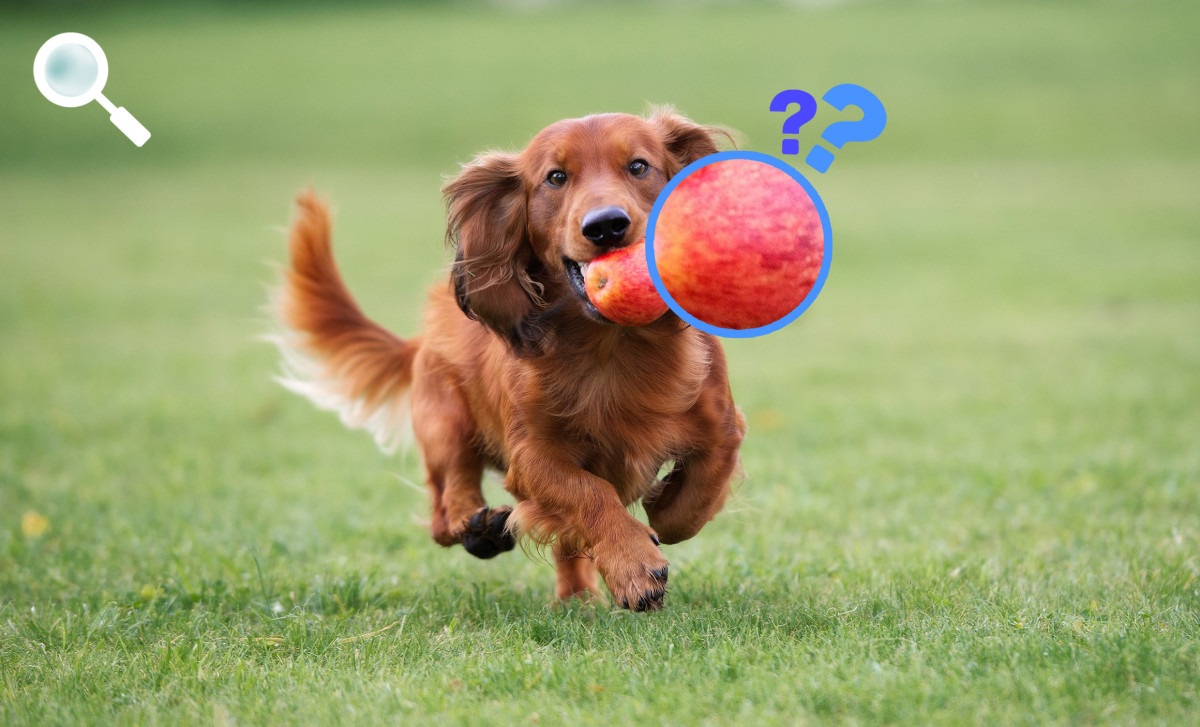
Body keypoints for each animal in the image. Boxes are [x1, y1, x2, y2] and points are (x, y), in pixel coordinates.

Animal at [272, 106, 744, 609]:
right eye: (556, 177)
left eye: (639, 166)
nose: (606, 225)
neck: (613, 347)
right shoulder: (533, 455)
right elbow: (590, 493)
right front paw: (634, 563)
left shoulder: (723, 427)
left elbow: (689, 505)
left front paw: (658, 509)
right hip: (445, 422)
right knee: (446, 506)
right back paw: (477, 528)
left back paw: (577, 597)